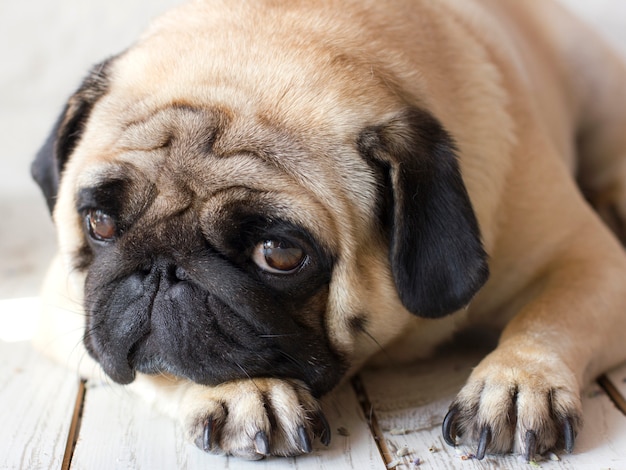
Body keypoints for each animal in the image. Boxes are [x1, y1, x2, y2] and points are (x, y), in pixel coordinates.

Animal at [30, 0, 626, 462]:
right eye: (100, 222)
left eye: (278, 254)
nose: (162, 267)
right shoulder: (63, 308)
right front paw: (246, 393)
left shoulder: (590, 262)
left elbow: (548, 319)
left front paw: (518, 383)